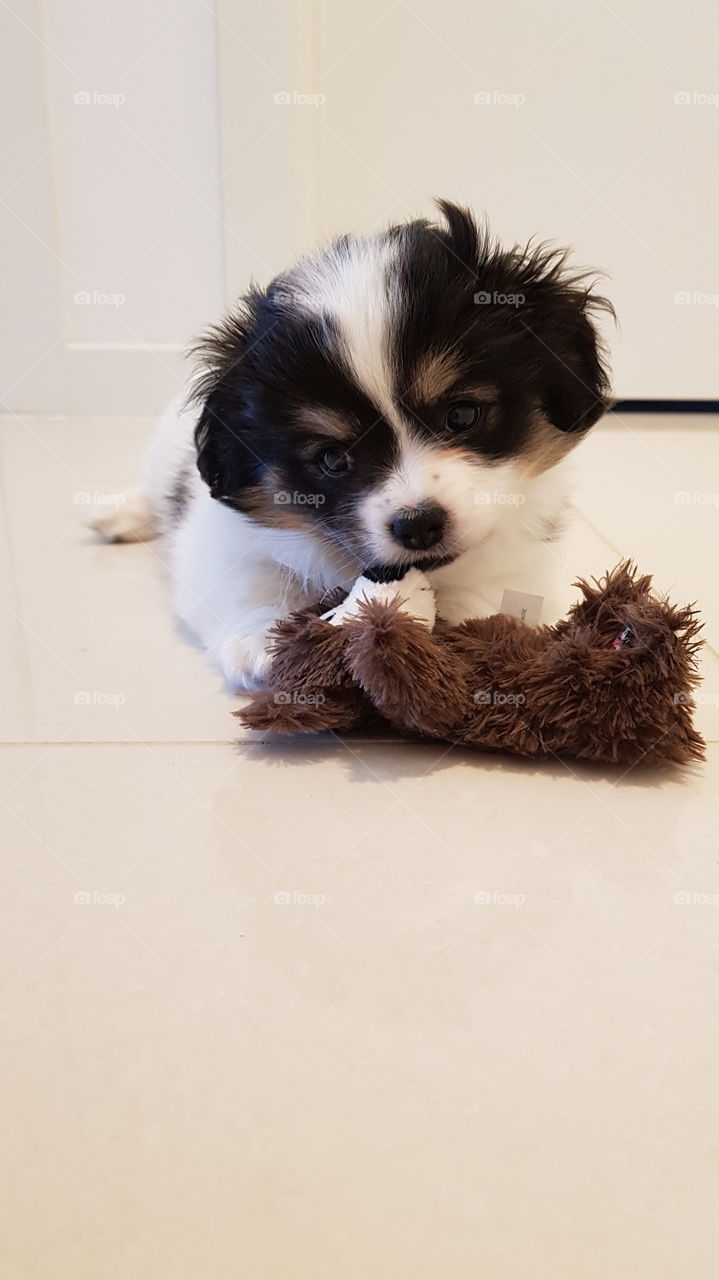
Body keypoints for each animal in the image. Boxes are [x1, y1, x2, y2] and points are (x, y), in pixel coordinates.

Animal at [90, 202, 608, 691]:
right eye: (332, 459)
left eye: (462, 415)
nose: (418, 525)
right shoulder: (217, 539)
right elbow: (247, 578)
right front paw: (263, 640)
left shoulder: (526, 560)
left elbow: (492, 593)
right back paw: (118, 514)